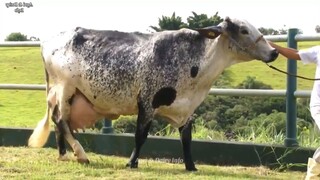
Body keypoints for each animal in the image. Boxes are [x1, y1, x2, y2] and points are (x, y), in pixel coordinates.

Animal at [28, 17, 278, 172]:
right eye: (244, 30)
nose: (274, 52)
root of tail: (48, 41)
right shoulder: (147, 102)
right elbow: (141, 135)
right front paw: (131, 162)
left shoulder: (187, 109)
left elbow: (186, 139)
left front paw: (191, 166)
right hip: (65, 88)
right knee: (61, 120)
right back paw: (81, 154)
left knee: (60, 122)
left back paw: (64, 154)